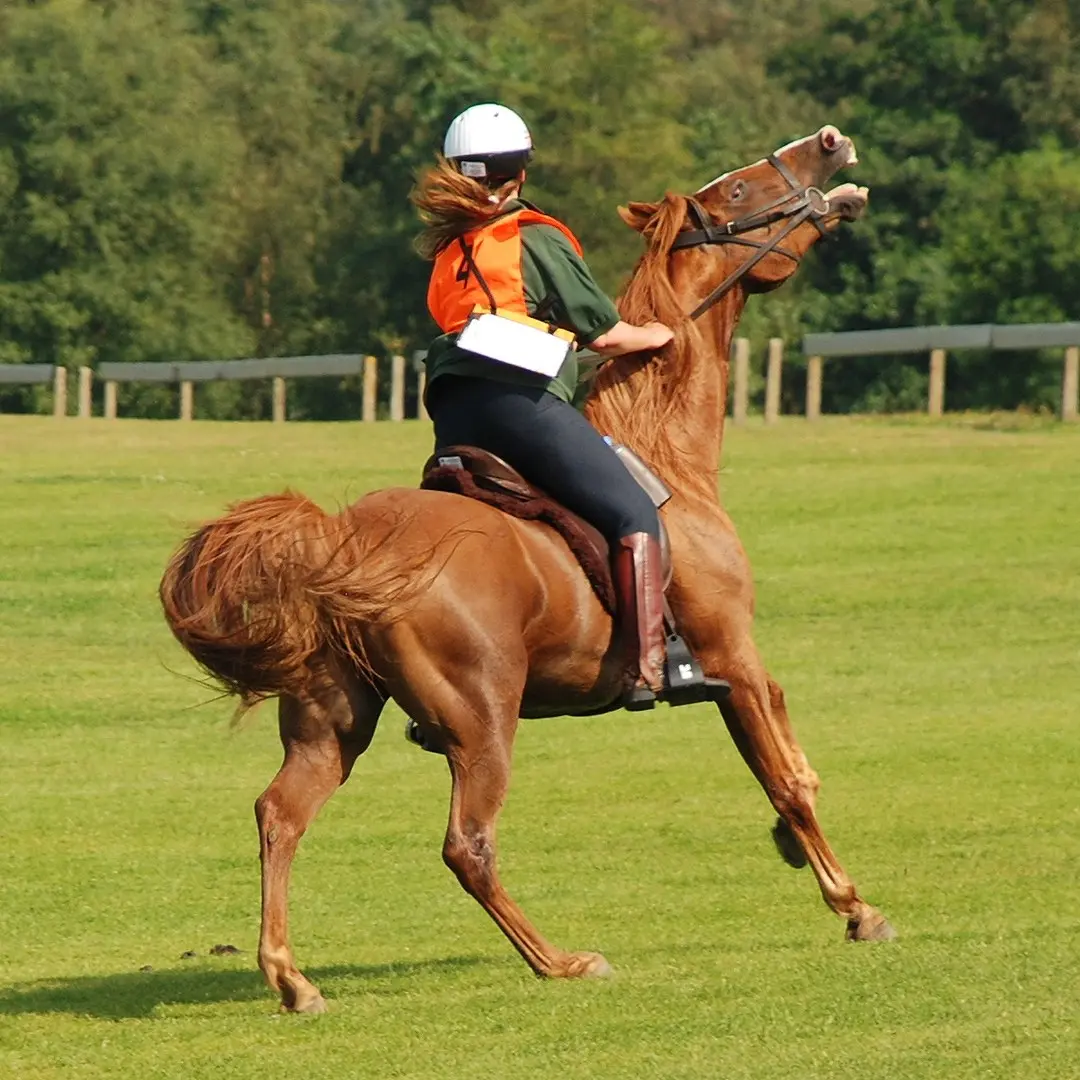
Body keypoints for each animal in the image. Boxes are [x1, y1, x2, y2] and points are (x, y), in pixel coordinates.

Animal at [160, 125, 891, 1015]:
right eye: (740, 191)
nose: (831, 142)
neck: (667, 453)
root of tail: (346, 543)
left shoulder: (745, 669)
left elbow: (790, 765)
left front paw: (799, 851)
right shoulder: (731, 655)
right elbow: (786, 778)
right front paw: (853, 906)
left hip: (332, 718)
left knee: (280, 817)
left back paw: (293, 979)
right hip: (482, 721)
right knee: (466, 846)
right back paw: (561, 960)